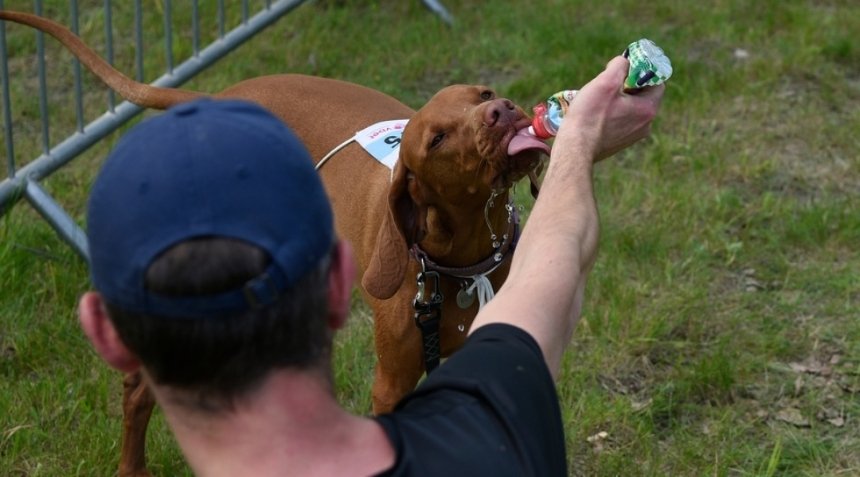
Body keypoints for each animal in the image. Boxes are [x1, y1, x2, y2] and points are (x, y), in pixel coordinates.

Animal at [0, 11, 552, 476]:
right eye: (437, 139)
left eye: (483, 93)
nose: (502, 110)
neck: (465, 262)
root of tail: (214, 100)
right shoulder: (391, 384)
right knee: (141, 383)